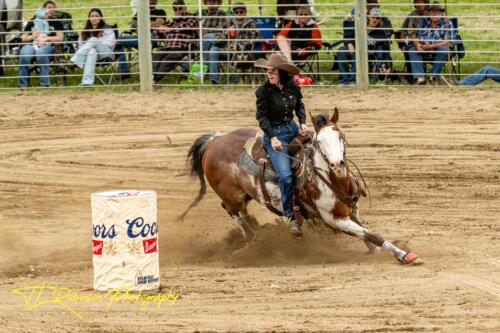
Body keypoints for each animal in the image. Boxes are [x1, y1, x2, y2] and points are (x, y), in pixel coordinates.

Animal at [182, 109, 420, 264]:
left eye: (341, 136)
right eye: (319, 142)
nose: (337, 165)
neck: (334, 180)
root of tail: (215, 140)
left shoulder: (352, 210)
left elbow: (366, 234)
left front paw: (378, 250)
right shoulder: (333, 218)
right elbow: (373, 235)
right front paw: (404, 255)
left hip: (247, 194)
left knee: (242, 211)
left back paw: (256, 229)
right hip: (232, 195)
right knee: (230, 210)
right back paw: (250, 237)